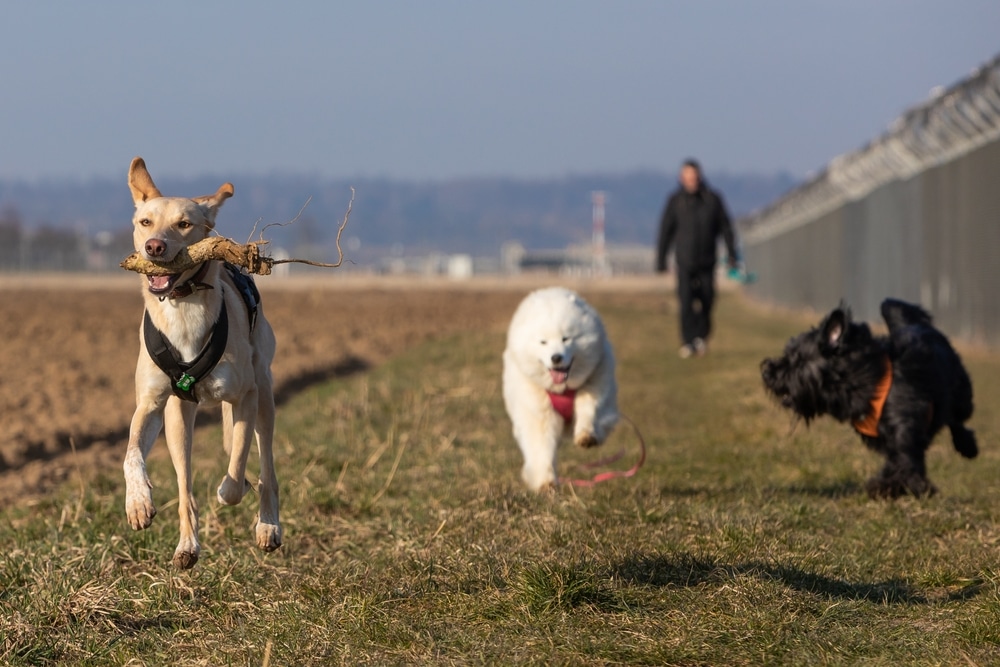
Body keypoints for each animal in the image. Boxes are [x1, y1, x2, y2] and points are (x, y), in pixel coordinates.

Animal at [126, 157, 282, 568]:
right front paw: (138, 502)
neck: (182, 310)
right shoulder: (152, 404)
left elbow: (237, 466)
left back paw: (268, 525)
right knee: (185, 485)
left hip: (264, 396)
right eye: (145, 222)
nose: (154, 247)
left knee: (266, 466)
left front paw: (231, 489)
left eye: (184, 224)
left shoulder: (244, 397)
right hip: (179, 419)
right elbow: (132, 454)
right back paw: (187, 545)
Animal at [500, 288, 616, 490]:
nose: (556, 358)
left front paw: (586, 435)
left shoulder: (595, 387)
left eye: (566, 338)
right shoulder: (540, 415)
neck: (562, 389)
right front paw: (546, 482)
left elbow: (589, 410)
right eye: (543, 342)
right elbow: (542, 449)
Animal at [760, 300, 972, 498]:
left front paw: (891, 486)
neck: (866, 379)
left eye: (796, 359)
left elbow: (904, 462)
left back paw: (967, 446)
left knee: (957, 420)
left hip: (961, 395)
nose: (767, 371)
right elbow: (898, 462)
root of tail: (919, 326)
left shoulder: (904, 430)